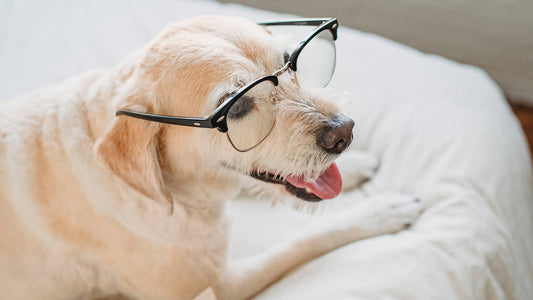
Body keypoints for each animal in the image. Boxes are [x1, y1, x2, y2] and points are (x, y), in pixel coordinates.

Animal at [1, 17, 424, 300]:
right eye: (236, 108)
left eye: (292, 60)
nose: (345, 132)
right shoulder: (221, 287)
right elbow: (303, 239)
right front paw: (378, 213)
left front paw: (355, 168)